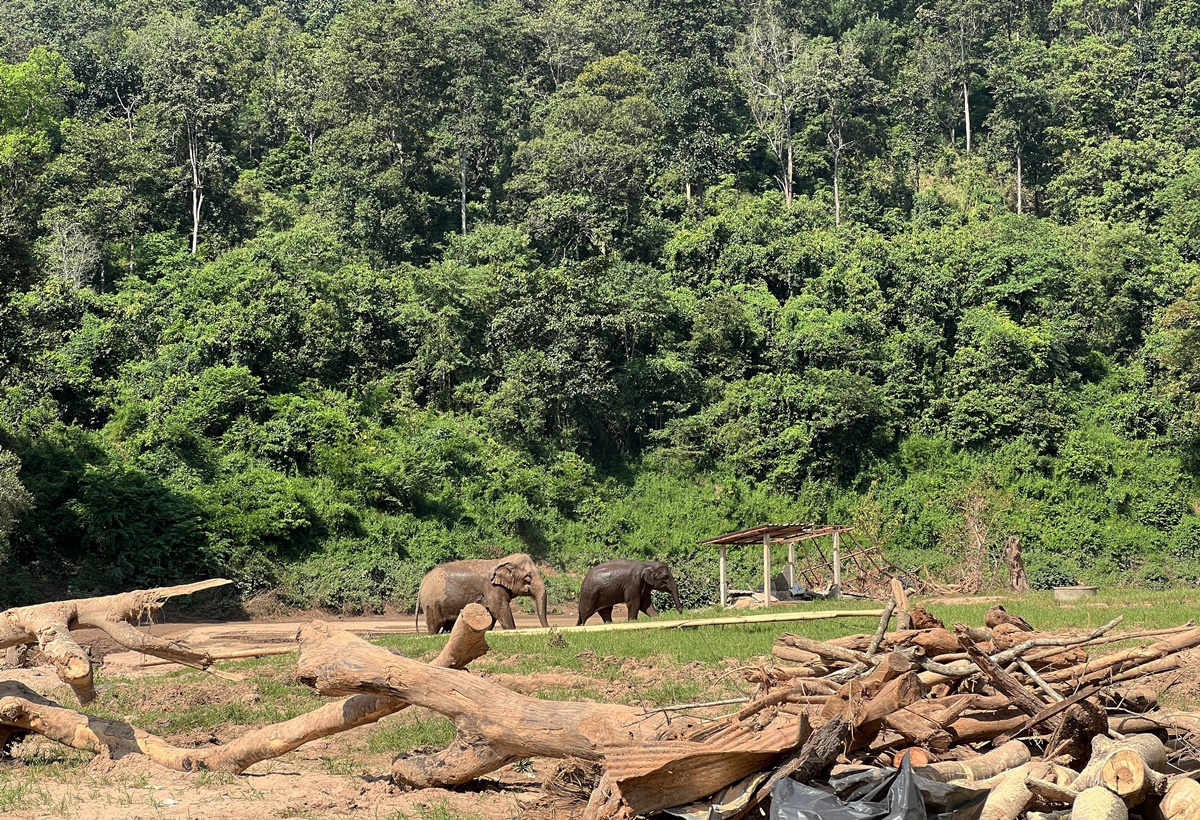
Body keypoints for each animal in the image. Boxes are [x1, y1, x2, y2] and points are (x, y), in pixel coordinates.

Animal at [410, 554, 547, 638]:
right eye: (528, 577)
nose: (548, 629)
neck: (503, 560)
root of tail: (422, 582)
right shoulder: (491, 587)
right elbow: (500, 609)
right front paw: (512, 630)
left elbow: (491, 613)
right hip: (431, 602)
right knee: (435, 624)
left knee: (448, 625)